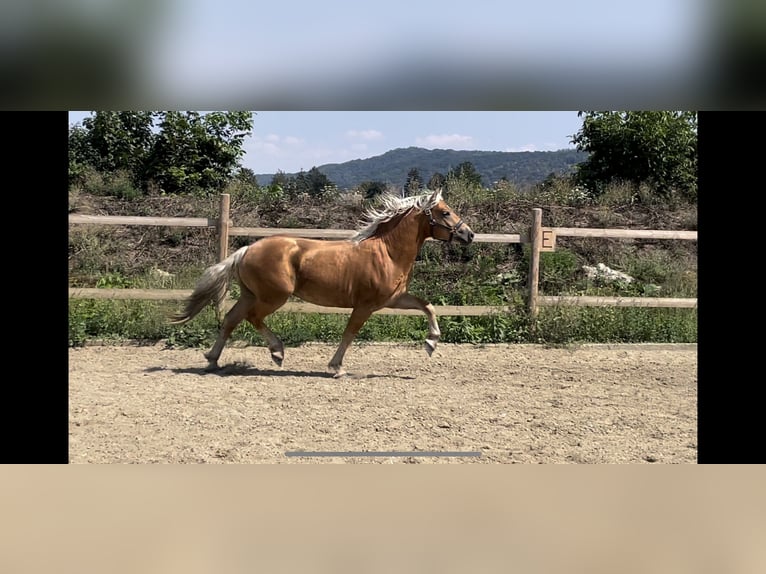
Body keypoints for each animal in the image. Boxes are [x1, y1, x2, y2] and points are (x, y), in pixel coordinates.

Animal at [172, 189, 474, 378]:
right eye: (445, 212)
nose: (469, 234)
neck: (387, 252)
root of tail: (247, 249)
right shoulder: (366, 305)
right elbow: (350, 333)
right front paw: (337, 368)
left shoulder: (394, 299)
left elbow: (428, 306)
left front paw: (431, 343)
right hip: (273, 297)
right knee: (252, 318)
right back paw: (277, 352)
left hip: (251, 294)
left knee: (231, 320)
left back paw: (213, 360)